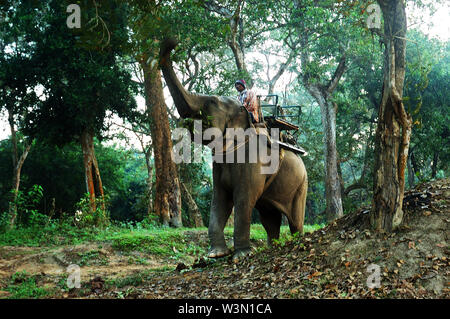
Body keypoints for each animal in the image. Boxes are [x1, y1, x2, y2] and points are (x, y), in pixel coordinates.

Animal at [160, 39, 308, 262]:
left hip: (302, 184)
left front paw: (241, 256)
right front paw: (215, 254)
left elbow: (243, 199)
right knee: (269, 219)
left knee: (295, 219)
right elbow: (219, 199)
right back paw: (273, 248)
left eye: (212, 102)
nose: (171, 41)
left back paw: (295, 242)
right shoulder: (219, 164)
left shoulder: (253, 161)